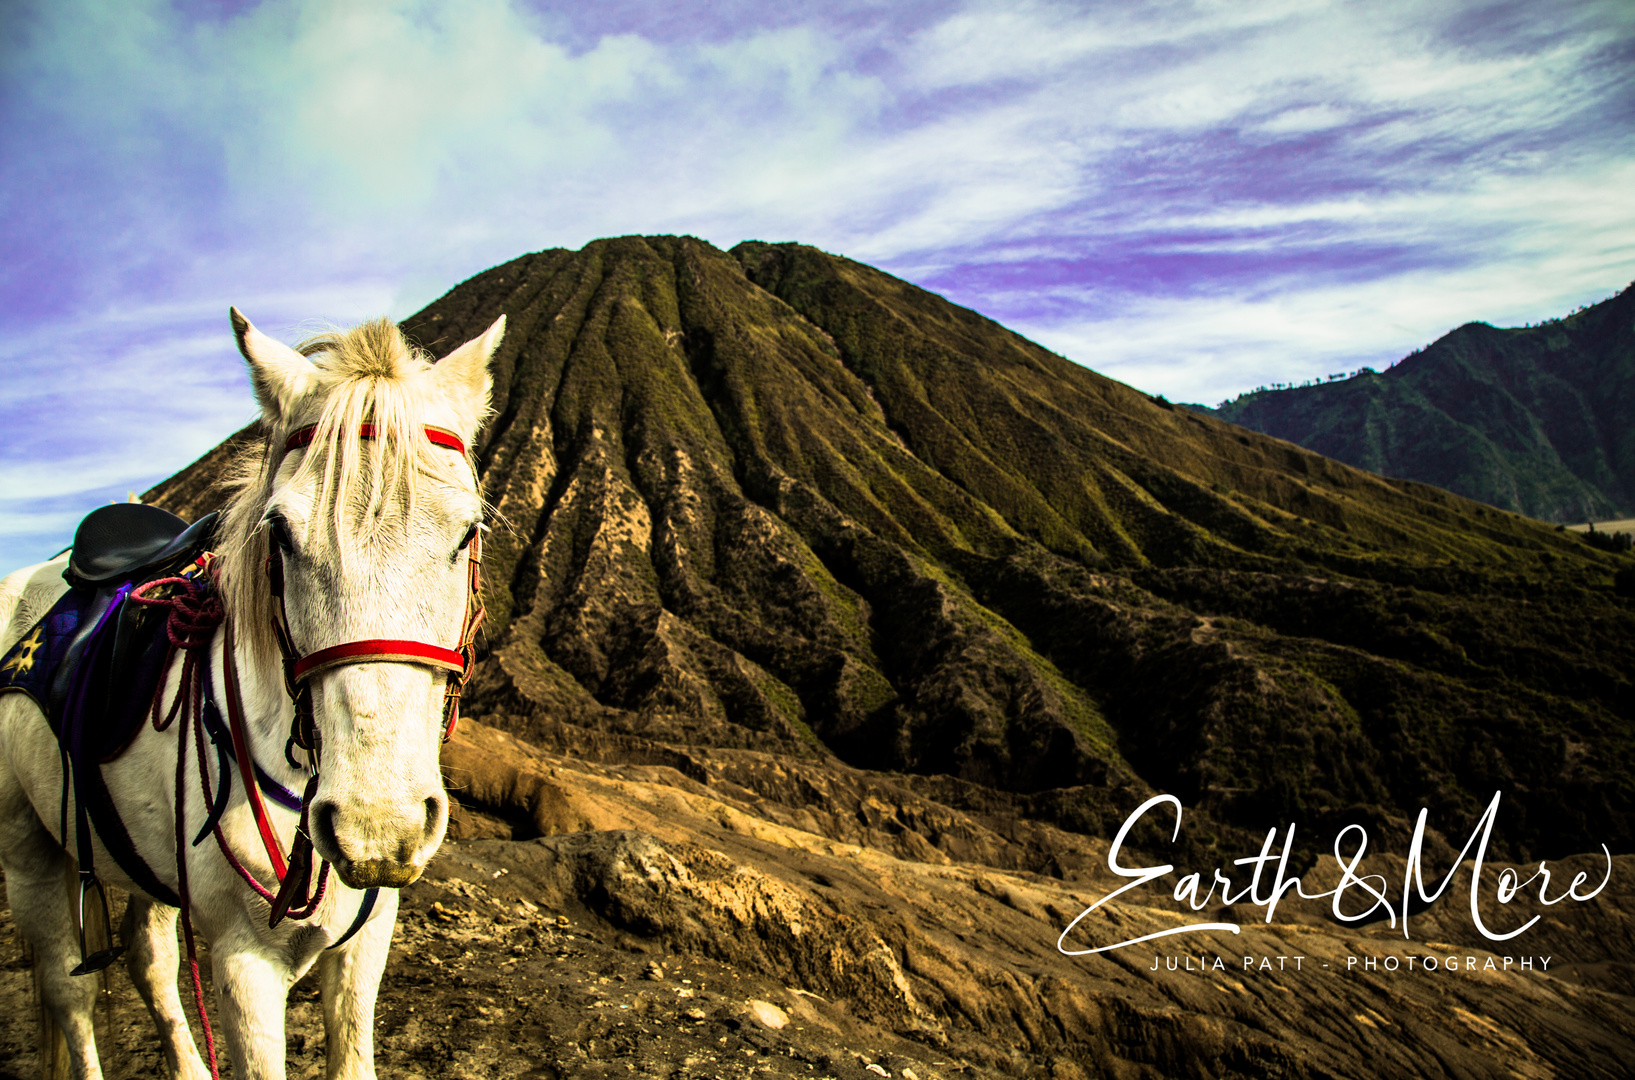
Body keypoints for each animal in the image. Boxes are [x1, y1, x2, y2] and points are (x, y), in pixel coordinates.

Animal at [0, 307, 503, 1071]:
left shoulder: (368, 939)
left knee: (150, 960)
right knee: (69, 993)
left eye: (466, 531)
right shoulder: (243, 964)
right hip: (25, 844)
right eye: (281, 533)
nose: (374, 826)